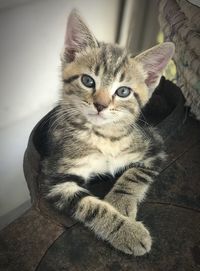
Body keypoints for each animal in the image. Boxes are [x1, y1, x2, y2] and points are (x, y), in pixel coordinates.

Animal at [41, 10, 174, 258]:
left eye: (123, 91)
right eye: (87, 80)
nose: (100, 105)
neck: (103, 136)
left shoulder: (155, 145)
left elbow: (134, 174)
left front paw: (120, 204)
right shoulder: (56, 178)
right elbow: (91, 207)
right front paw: (127, 231)